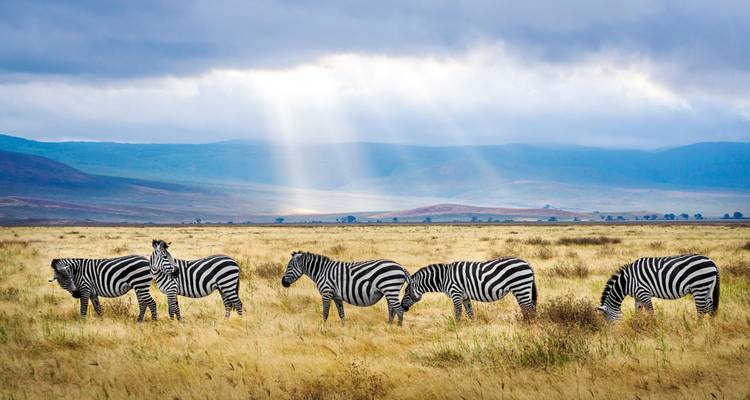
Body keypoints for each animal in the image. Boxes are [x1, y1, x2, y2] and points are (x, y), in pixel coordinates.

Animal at [281, 251, 410, 325]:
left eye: (289, 267)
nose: (283, 283)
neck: (321, 271)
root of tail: (400, 267)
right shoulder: (337, 296)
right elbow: (341, 313)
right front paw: (343, 328)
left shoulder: (326, 293)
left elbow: (325, 312)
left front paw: (323, 327)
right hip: (389, 291)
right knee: (392, 309)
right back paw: (388, 326)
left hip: (390, 288)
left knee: (399, 310)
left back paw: (398, 328)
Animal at [400, 257, 537, 321]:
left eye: (406, 292)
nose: (402, 307)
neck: (443, 278)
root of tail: (528, 264)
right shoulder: (465, 296)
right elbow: (470, 312)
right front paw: (472, 327)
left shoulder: (456, 293)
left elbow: (458, 312)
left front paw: (456, 327)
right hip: (522, 289)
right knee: (527, 308)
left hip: (521, 287)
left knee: (529, 308)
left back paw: (529, 326)